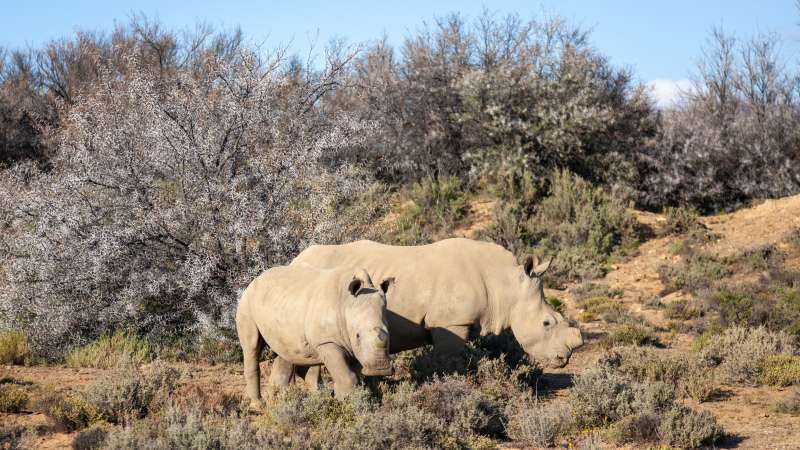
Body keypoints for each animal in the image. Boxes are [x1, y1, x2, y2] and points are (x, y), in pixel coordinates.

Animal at [236, 265, 393, 403]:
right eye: (358, 336)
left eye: (389, 333)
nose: (380, 368)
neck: (346, 304)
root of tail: (255, 280)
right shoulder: (327, 341)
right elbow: (347, 376)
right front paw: (347, 404)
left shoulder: (351, 346)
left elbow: (355, 376)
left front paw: (351, 400)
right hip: (246, 302)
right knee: (252, 347)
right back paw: (259, 405)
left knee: (291, 351)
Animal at [291, 238, 583, 369]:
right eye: (546, 323)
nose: (564, 359)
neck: (506, 284)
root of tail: (295, 259)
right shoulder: (451, 322)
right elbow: (450, 362)